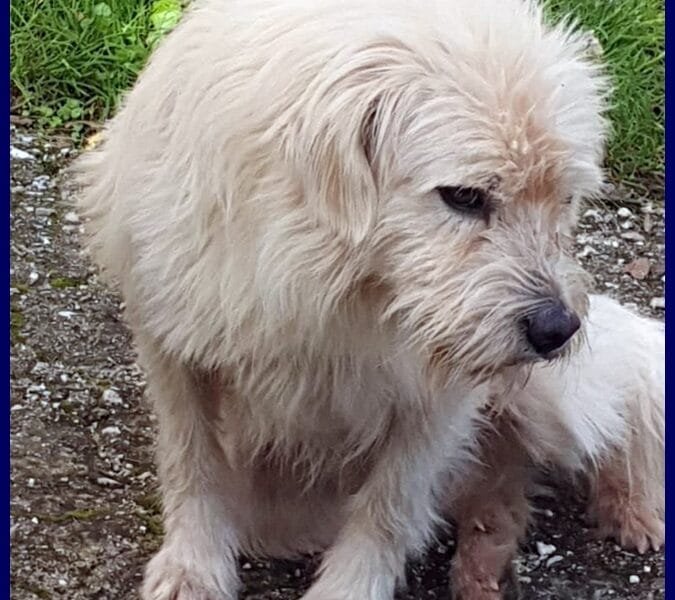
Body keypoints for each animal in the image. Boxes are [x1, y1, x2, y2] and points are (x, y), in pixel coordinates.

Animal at [70, 1, 612, 600]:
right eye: (465, 196)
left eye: (566, 198)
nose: (556, 330)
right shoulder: (173, 344)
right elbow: (192, 460)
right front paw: (194, 566)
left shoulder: (436, 397)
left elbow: (389, 504)